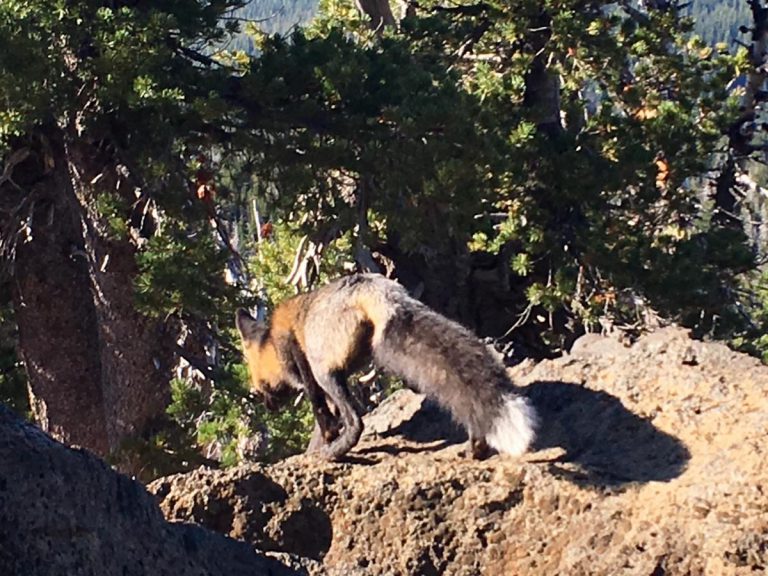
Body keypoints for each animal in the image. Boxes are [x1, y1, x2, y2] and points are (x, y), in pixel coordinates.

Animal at [235, 273, 537, 461]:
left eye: (257, 386)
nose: (267, 406)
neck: (274, 342)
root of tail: (376, 288)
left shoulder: (306, 369)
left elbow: (322, 416)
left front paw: (324, 445)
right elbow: (324, 423)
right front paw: (316, 447)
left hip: (325, 373)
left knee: (356, 421)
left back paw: (337, 453)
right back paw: (477, 447)